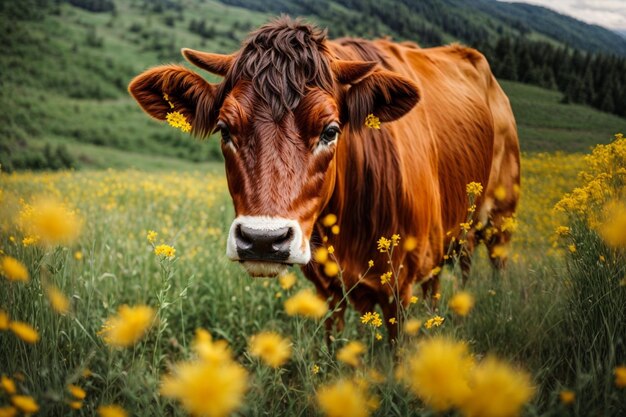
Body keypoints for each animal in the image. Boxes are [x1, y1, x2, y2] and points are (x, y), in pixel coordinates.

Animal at [127, 17, 516, 340]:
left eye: (330, 131)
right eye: (225, 129)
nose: (263, 240)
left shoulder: (399, 291)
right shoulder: (328, 290)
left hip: (499, 219)